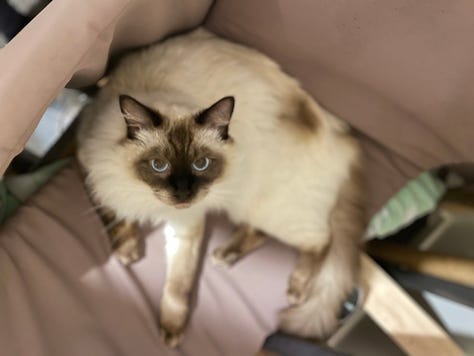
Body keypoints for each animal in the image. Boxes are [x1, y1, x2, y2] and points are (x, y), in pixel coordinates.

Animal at [78, 27, 366, 348]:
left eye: (201, 164)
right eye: (158, 165)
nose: (183, 194)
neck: (148, 199)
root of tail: (345, 140)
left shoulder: (185, 226)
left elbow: (178, 286)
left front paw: (172, 332)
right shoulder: (93, 172)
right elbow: (115, 217)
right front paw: (128, 251)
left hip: (267, 207)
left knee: (320, 242)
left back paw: (295, 289)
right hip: (250, 206)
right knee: (263, 234)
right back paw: (226, 256)